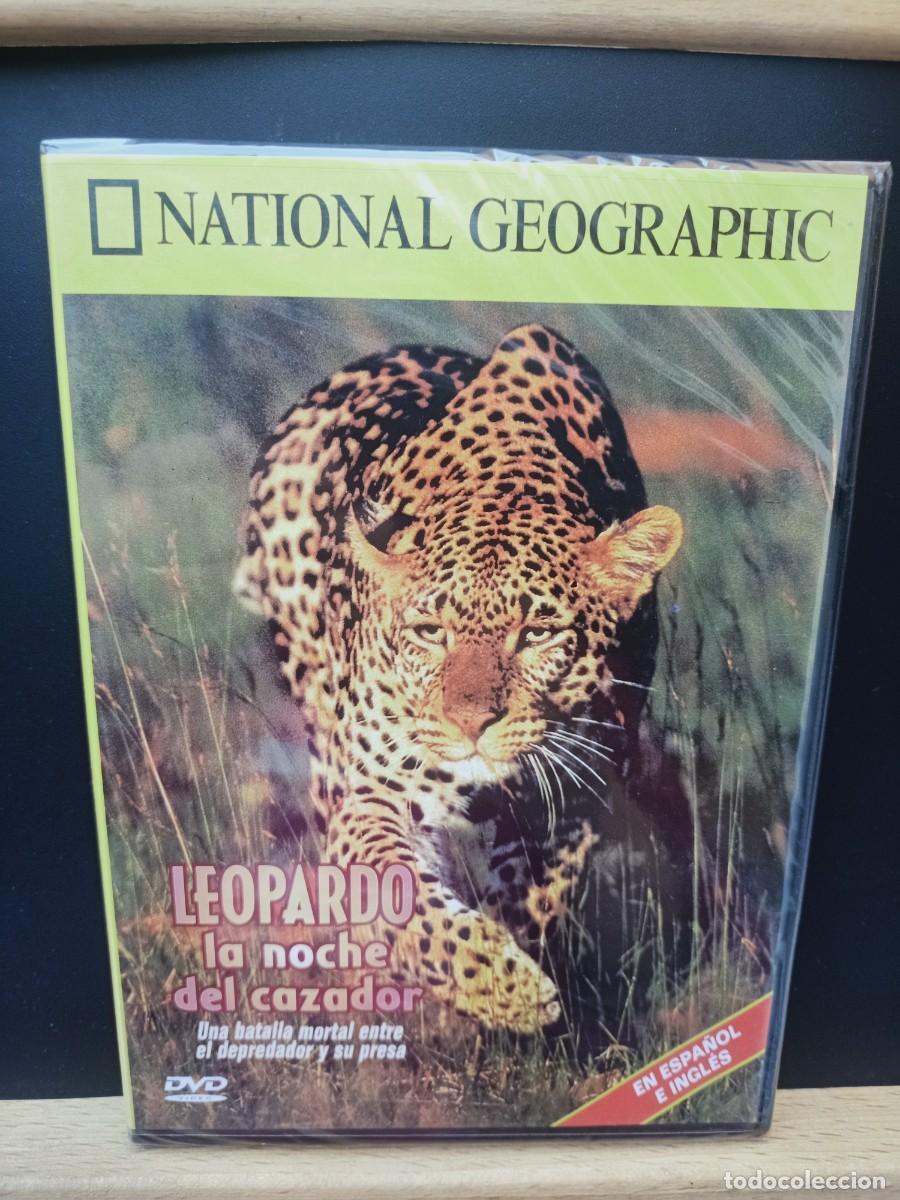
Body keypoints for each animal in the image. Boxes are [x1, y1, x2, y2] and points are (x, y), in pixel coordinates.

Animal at [234, 322, 682, 1035]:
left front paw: (515, 961)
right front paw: (503, 987)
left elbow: (538, 894)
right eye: (429, 632)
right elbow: (399, 896)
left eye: (537, 633)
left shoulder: (577, 796)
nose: (471, 724)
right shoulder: (374, 791)